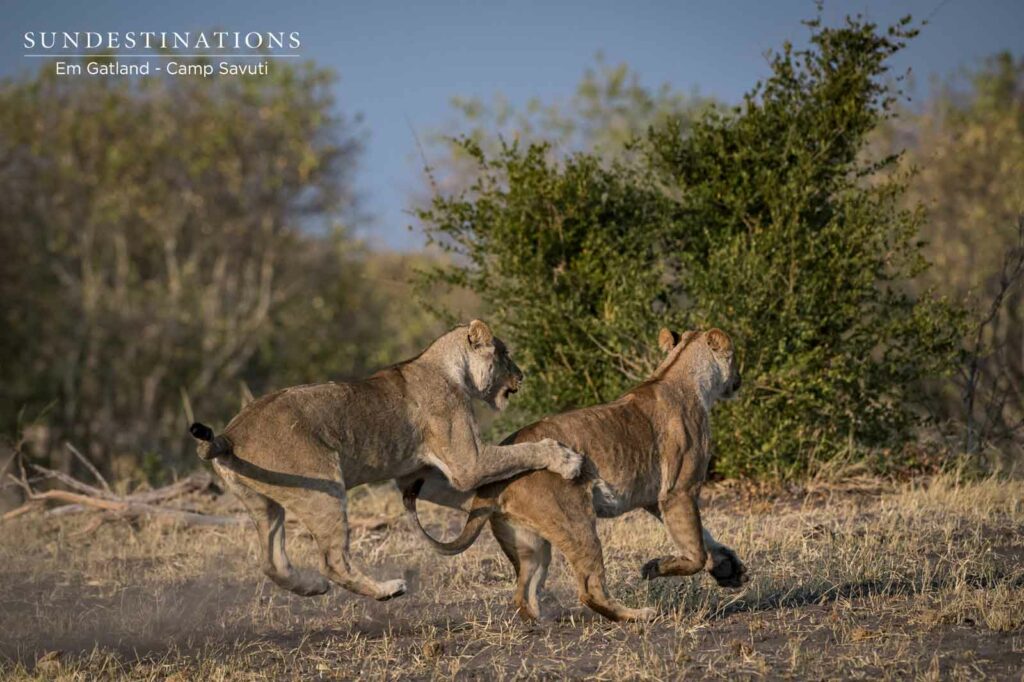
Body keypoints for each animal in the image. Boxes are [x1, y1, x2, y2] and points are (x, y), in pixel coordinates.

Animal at [188, 320, 583, 601]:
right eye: (504, 355)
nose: (523, 375)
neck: (450, 368)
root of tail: (231, 433)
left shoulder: (426, 476)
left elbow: (474, 494)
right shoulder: (467, 464)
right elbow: (521, 452)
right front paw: (566, 459)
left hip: (263, 502)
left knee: (271, 561)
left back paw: (310, 587)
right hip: (323, 488)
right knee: (332, 561)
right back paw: (386, 590)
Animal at [401, 328, 749, 621]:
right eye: (734, 359)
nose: (740, 379)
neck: (682, 376)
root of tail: (494, 479)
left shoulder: (654, 499)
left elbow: (704, 538)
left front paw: (729, 568)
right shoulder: (678, 491)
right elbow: (695, 549)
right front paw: (656, 567)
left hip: (530, 544)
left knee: (523, 594)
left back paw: (544, 623)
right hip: (577, 523)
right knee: (589, 588)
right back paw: (639, 616)